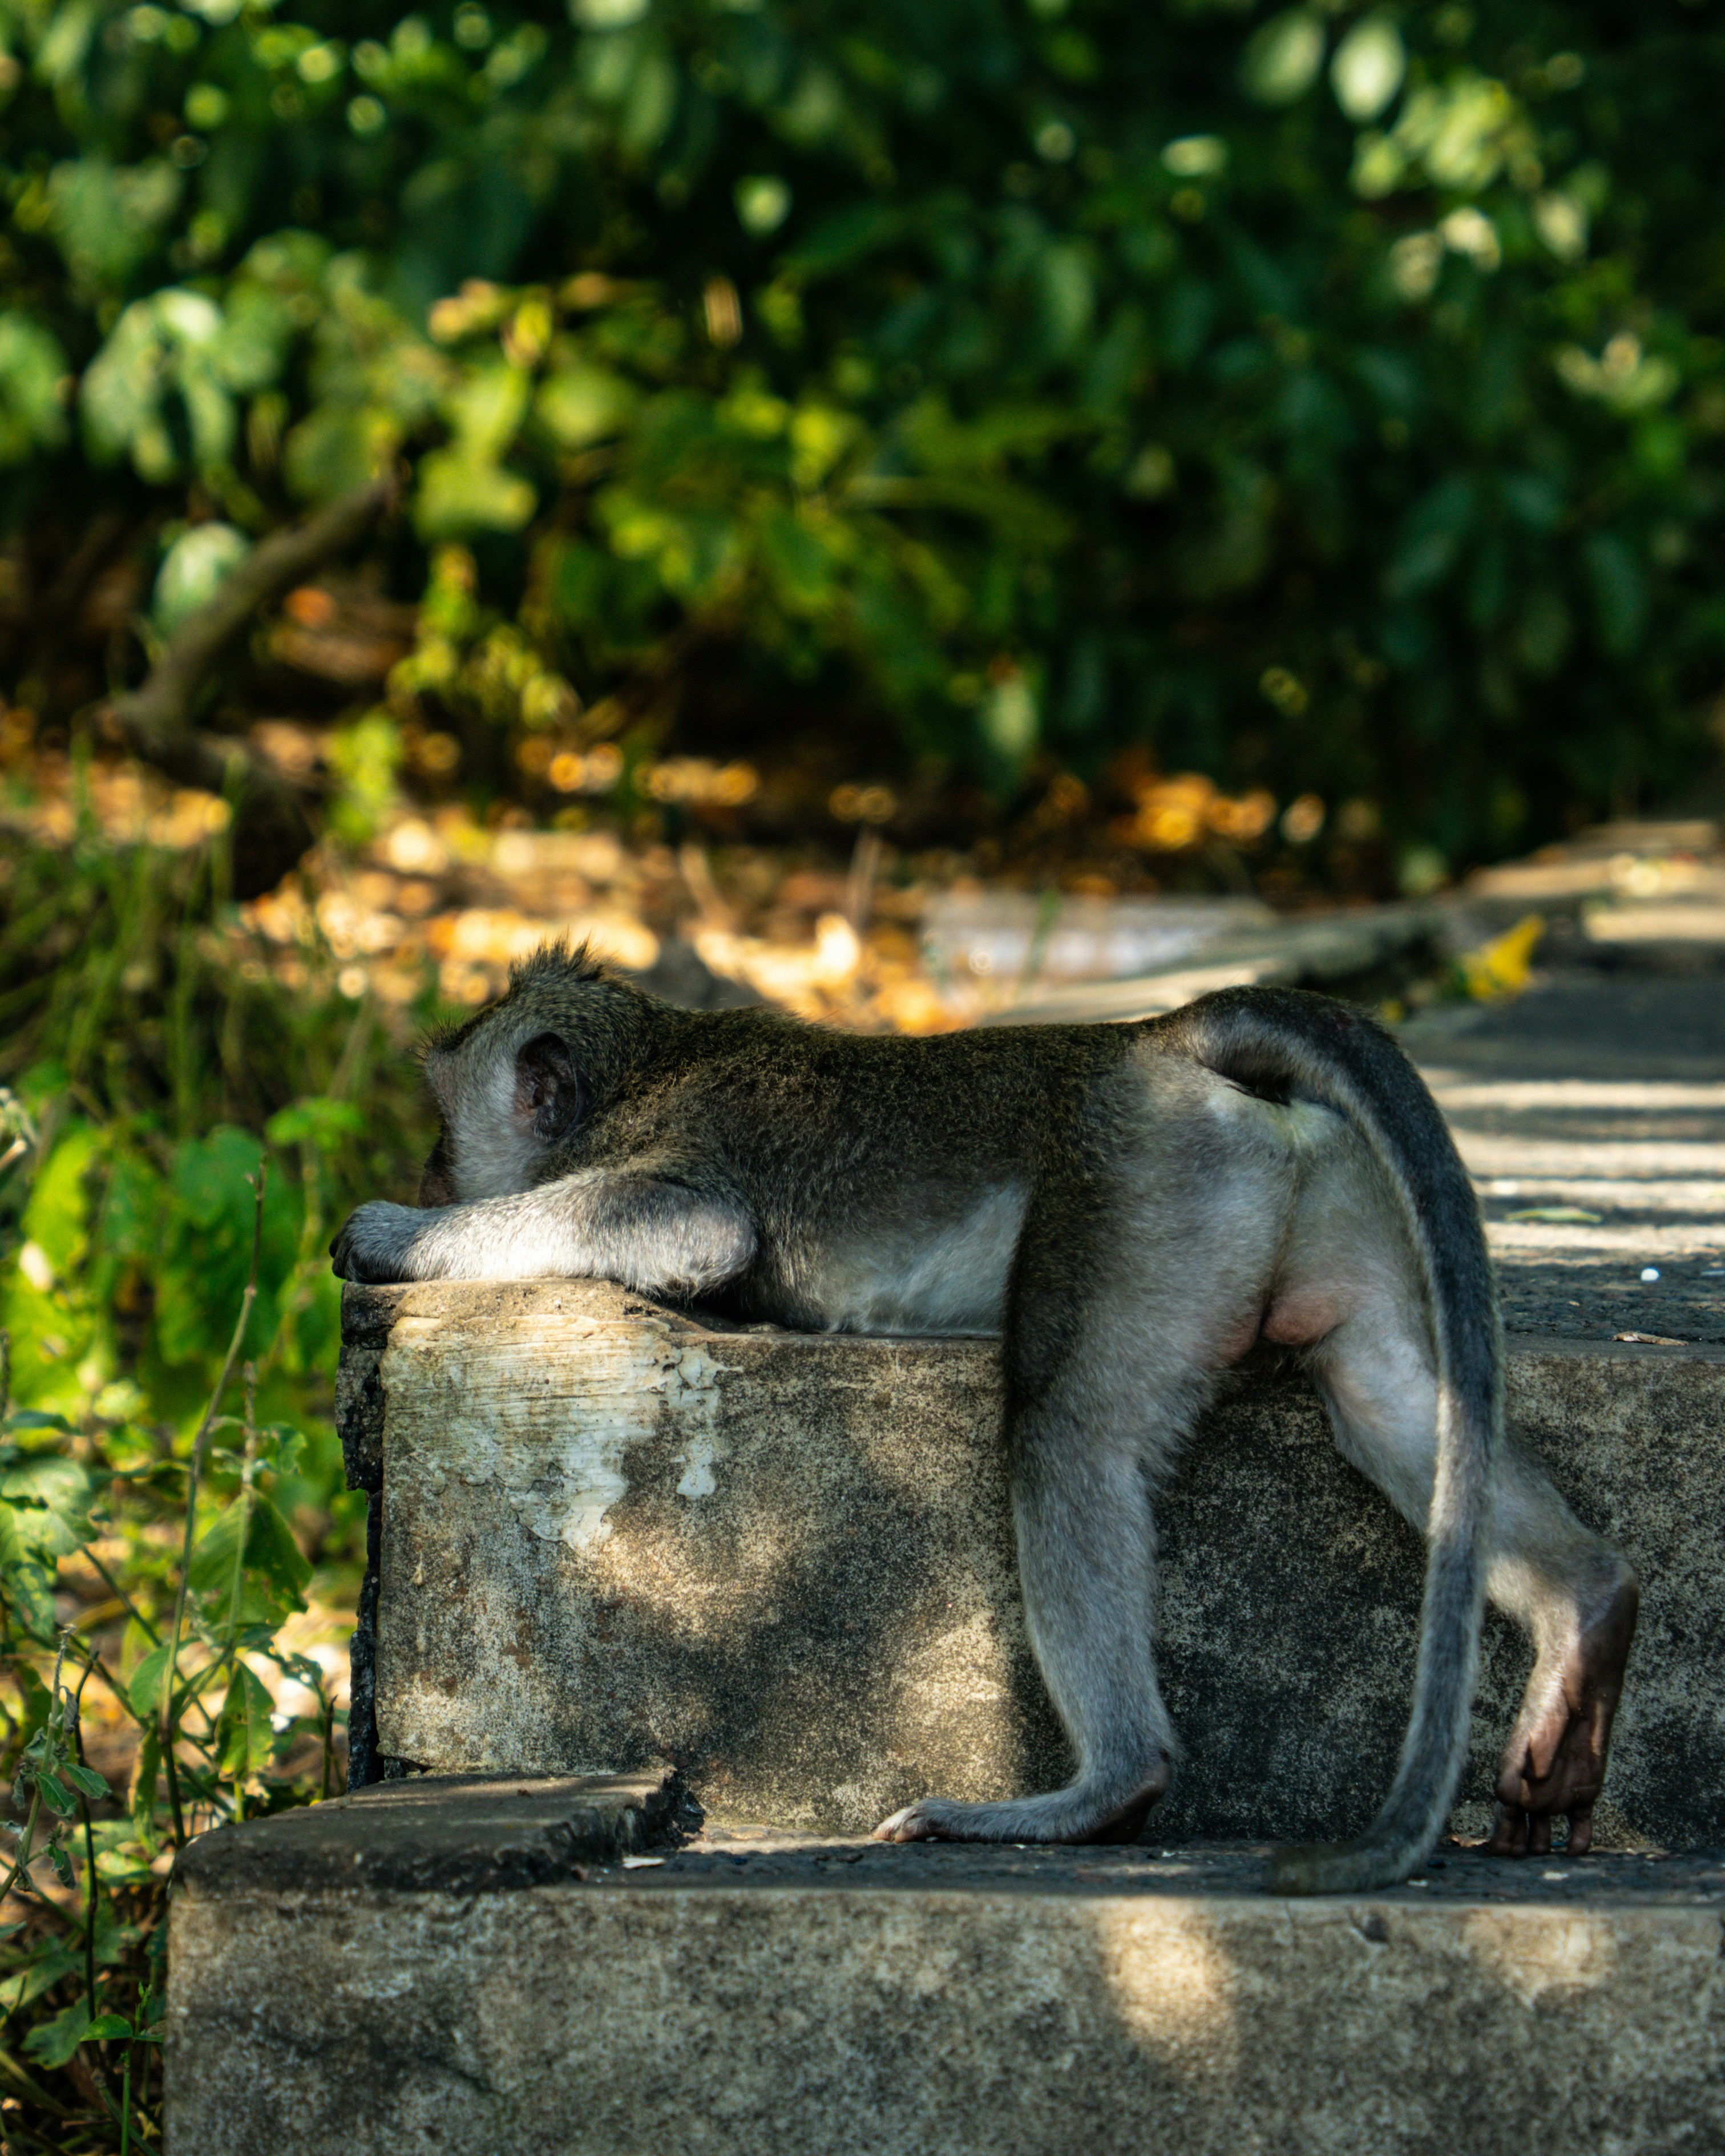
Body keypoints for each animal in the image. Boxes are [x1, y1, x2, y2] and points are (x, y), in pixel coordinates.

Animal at [331, 942, 1638, 1891]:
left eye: (442, 1132)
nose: (432, 1172)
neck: (658, 1054)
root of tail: (1150, 1039)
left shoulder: (669, 1153)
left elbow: (693, 1229)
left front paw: (391, 1231)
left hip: (1143, 1183)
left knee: (1066, 1427)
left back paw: (1100, 1789)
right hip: (1316, 1190)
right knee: (1386, 1400)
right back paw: (1588, 1610)